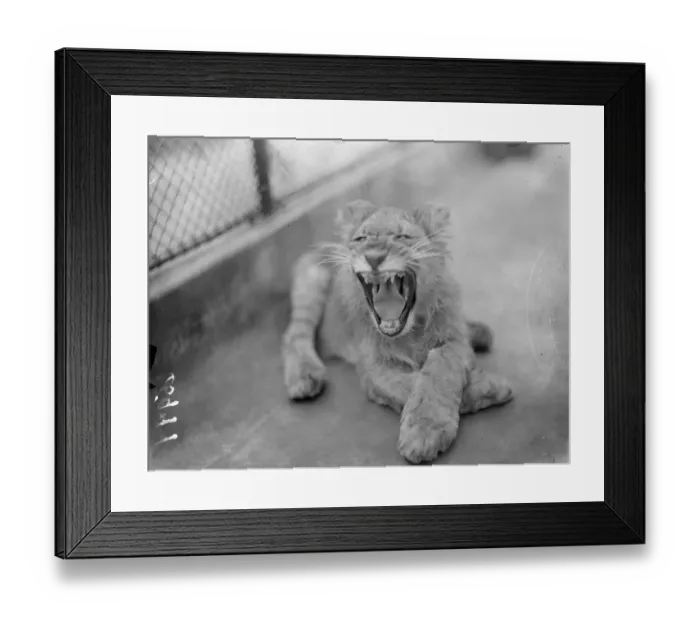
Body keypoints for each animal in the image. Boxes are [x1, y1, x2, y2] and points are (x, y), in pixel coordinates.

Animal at [281, 199, 514, 464]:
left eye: (403, 236)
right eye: (361, 238)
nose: (373, 257)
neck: (409, 332)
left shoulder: (454, 342)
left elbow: (439, 371)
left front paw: (426, 431)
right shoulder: (373, 367)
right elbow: (407, 384)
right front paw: (488, 388)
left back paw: (479, 332)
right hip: (311, 285)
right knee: (295, 334)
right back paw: (305, 377)